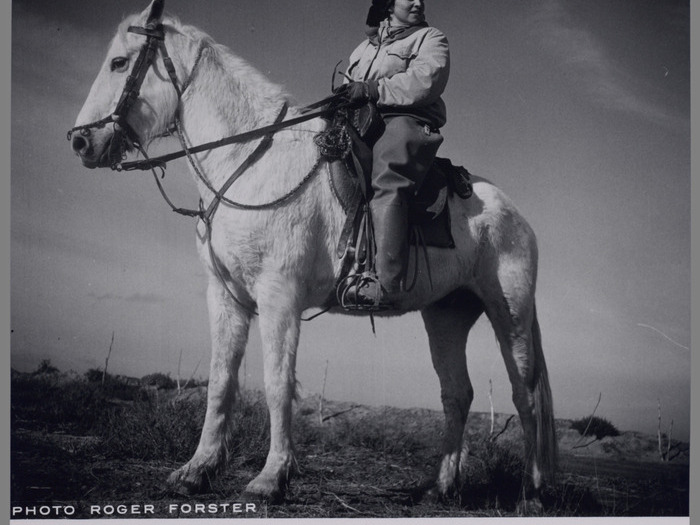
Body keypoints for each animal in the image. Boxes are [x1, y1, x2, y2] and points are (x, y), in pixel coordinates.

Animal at [71, 0, 556, 508]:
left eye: (119, 62)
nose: (80, 141)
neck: (251, 160)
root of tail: (514, 213)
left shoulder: (278, 296)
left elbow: (277, 383)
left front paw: (271, 478)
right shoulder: (226, 297)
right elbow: (220, 382)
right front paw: (196, 469)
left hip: (509, 313)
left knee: (526, 395)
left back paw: (531, 493)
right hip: (447, 316)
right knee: (456, 394)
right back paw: (440, 487)